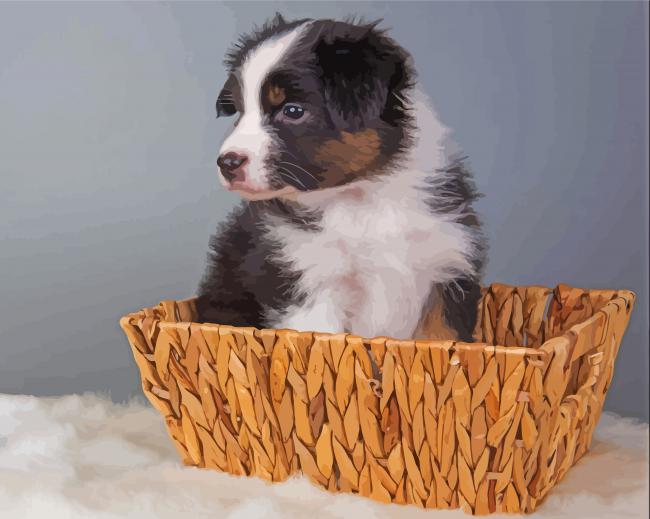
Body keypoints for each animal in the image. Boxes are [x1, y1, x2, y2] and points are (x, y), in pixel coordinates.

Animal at [195, 14, 484, 344]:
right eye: (240, 112)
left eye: (292, 111)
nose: (227, 162)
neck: (364, 198)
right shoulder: (309, 281)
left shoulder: (446, 273)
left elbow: (443, 338)